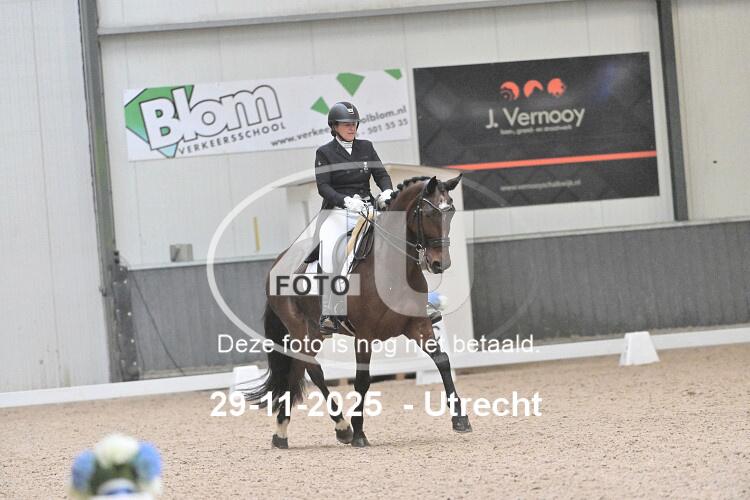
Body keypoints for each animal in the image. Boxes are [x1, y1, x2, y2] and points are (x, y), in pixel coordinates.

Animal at [245, 173, 472, 448]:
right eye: (428, 213)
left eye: (451, 212)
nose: (440, 264)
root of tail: (279, 261)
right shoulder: (364, 335)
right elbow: (363, 380)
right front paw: (359, 433)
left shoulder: (418, 325)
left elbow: (442, 360)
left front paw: (460, 419)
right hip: (299, 328)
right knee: (313, 370)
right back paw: (341, 427)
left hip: (315, 332)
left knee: (301, 367)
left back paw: (284, 431)